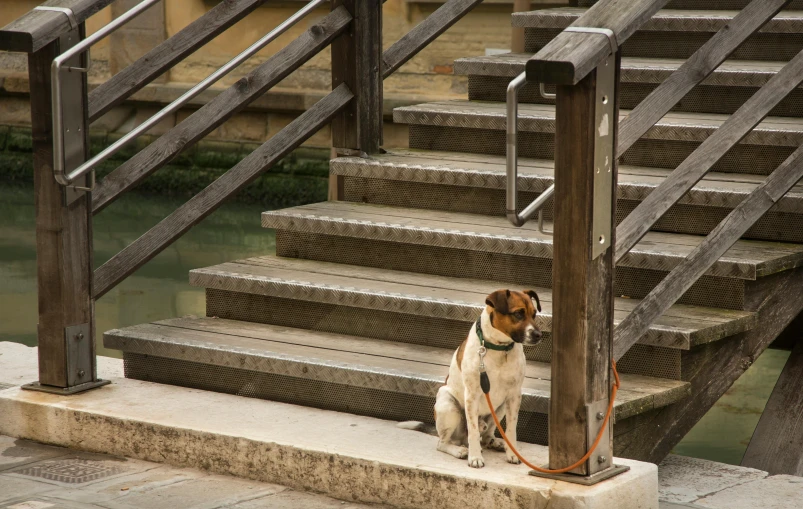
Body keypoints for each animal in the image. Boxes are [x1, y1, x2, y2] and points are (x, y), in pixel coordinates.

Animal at [398, 290, 544, 468]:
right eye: (518, 314)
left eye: (534, 314)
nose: (539, 335)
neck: (499, 348)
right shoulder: (472, 395)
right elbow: (473, 432)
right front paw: (475, 457)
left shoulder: (514, 395)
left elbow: (511, 429)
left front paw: (512, 453)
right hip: (448, 405)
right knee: (443, 442)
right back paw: (459, 450)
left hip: (500, 408)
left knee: (487, 433)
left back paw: (494, 442)